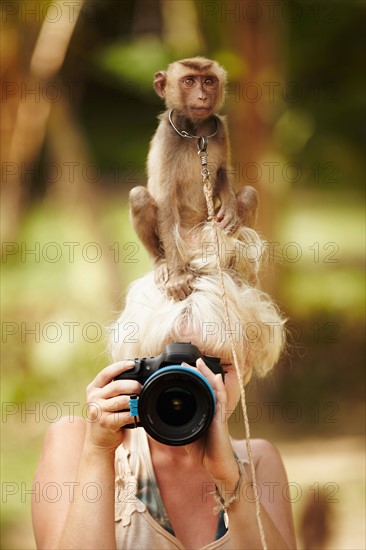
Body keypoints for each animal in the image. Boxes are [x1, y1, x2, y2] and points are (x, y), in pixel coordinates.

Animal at [129, 57, 258, 302]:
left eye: (208, 81)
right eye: (189, 81)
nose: (202, 97)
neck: (196, 131)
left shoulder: (221, 130)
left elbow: (222, 172)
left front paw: (230, 208)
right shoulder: (168, 138)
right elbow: (165, 202)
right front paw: (177, 277)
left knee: (249, 194)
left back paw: (231, 268)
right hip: (179, 245)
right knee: (138, 196)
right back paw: (161, 262)